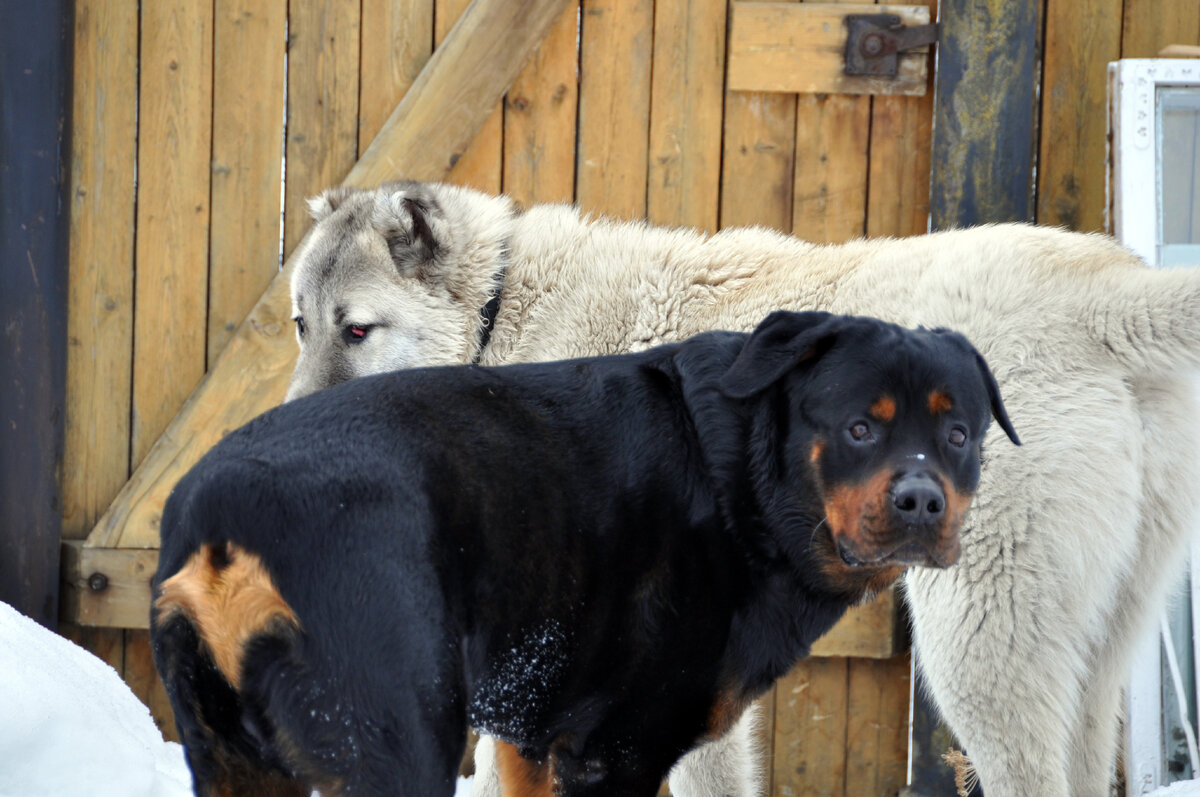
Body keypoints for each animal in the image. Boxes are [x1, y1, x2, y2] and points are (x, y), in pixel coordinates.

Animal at [147, 312, 1012, 797]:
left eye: (959, 434)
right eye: (861, 426)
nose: (921, 500)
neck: (747, 483)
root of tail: (223, 525)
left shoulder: (533, 737)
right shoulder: (619, 747)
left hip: (233, 759)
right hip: (393, 741)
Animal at [285, 180, 1200, 797]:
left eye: (357, 328)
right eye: (300, 321)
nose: (290, 425)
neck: (502, 312)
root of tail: (1102, 297)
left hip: (983, 644)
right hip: (1097, 644)